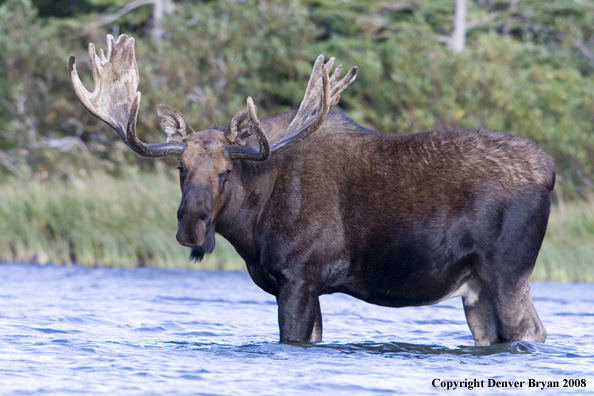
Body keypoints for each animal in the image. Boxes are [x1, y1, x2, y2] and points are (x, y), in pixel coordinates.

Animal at [67, 34, 552, 346]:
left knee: (533, 331)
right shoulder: (308, 286)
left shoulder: (300, 277)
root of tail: (551, 172)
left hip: (508, 273)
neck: (251, 229)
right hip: (476, 290)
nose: (191, 225)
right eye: (180, 168)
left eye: (227, 170)